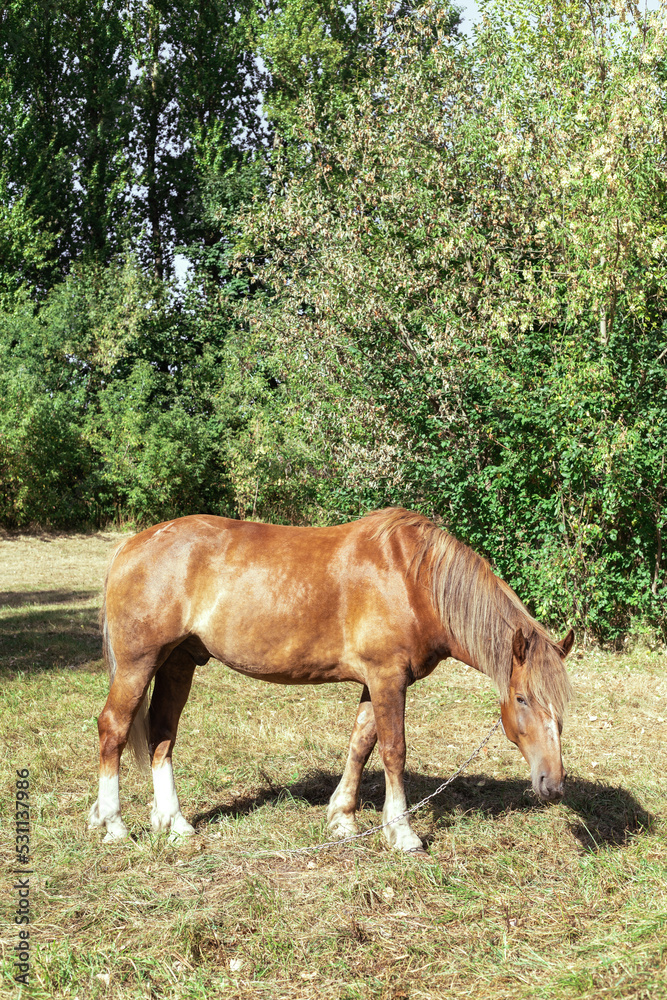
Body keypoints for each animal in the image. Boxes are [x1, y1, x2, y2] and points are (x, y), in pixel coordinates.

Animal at [88, 507, 574, 852]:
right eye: (523, 698)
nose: (552, 785)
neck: (414, 580)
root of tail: (132, 545)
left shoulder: (376, 681)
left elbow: (361, 743)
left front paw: (342, 817)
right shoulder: (387, 677)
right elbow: (393, 750)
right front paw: (402, 833)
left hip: (178, 662)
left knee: (162, 735)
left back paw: (175, 824)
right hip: (138, 664)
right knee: (113, 728)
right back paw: (113, 823)